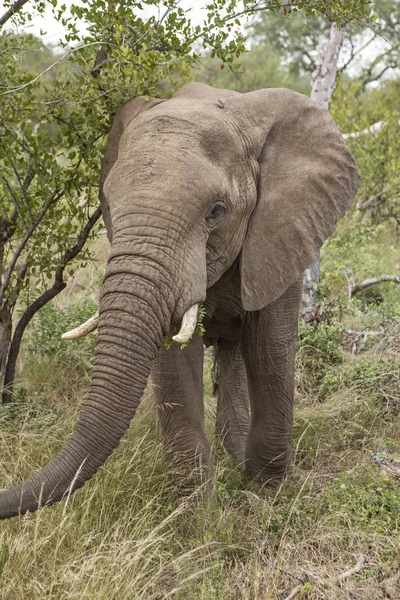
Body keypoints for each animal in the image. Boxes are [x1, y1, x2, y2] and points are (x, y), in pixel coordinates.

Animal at [0, 82, 360, 516]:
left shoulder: (282, 233)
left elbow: (269, 348)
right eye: (109, 204)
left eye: (216, 211)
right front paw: (195, 513)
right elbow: (174, 362)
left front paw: (264, 495)